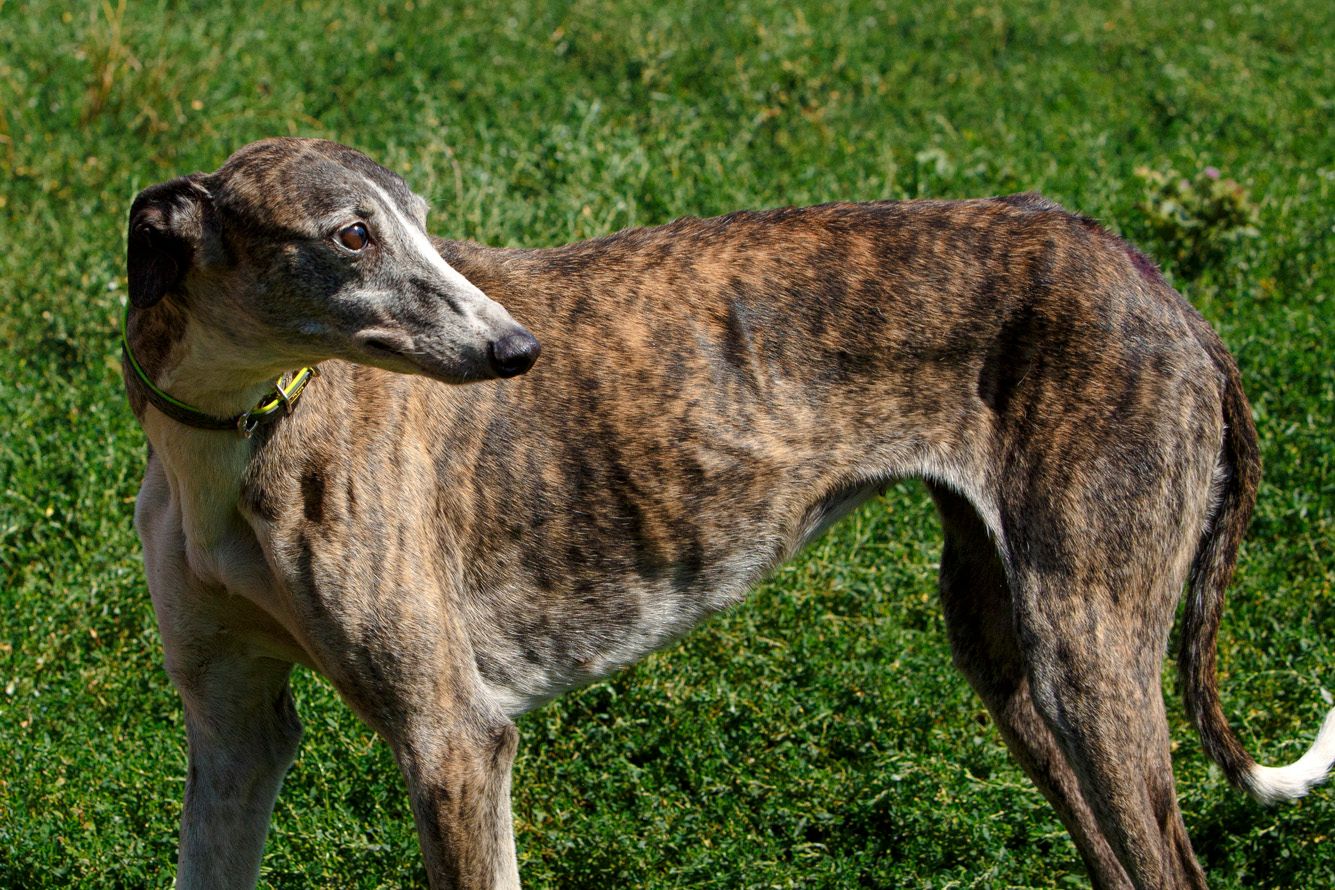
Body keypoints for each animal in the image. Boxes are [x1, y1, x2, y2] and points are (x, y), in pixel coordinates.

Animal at [123, 138, 1334, 889]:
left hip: (1091, 647)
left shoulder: (454, 741)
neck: (240, 429)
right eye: (350, 235)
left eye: (420, 224)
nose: (519, 351)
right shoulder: (234, 732)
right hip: (1010, 652)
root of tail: (1158, 284)